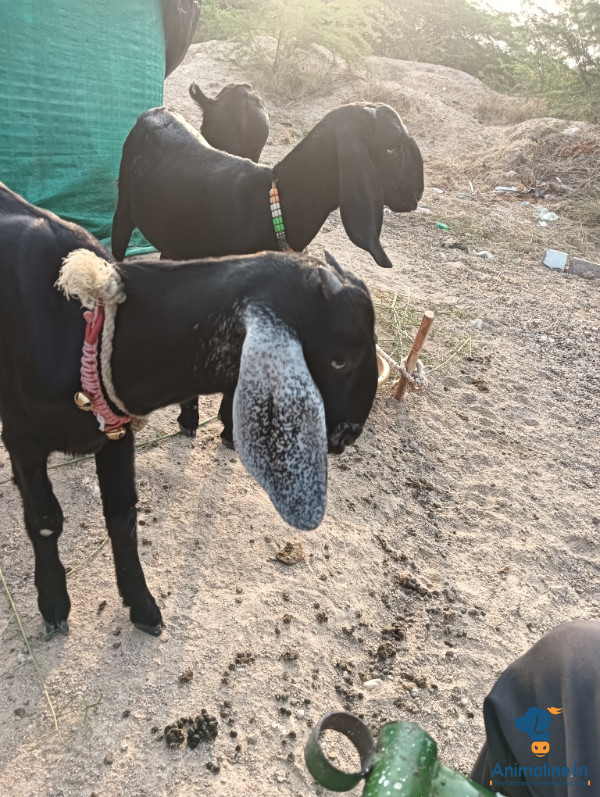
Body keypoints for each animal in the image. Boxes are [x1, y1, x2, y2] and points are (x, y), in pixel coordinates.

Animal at [0, 182, 378, 636]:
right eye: (340, 359)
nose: (351, 432)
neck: (83, 326)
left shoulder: (115, 433)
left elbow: (123, 516)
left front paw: (142, 605)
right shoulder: (21, 439)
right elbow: (44, 520)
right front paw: (54, 603)